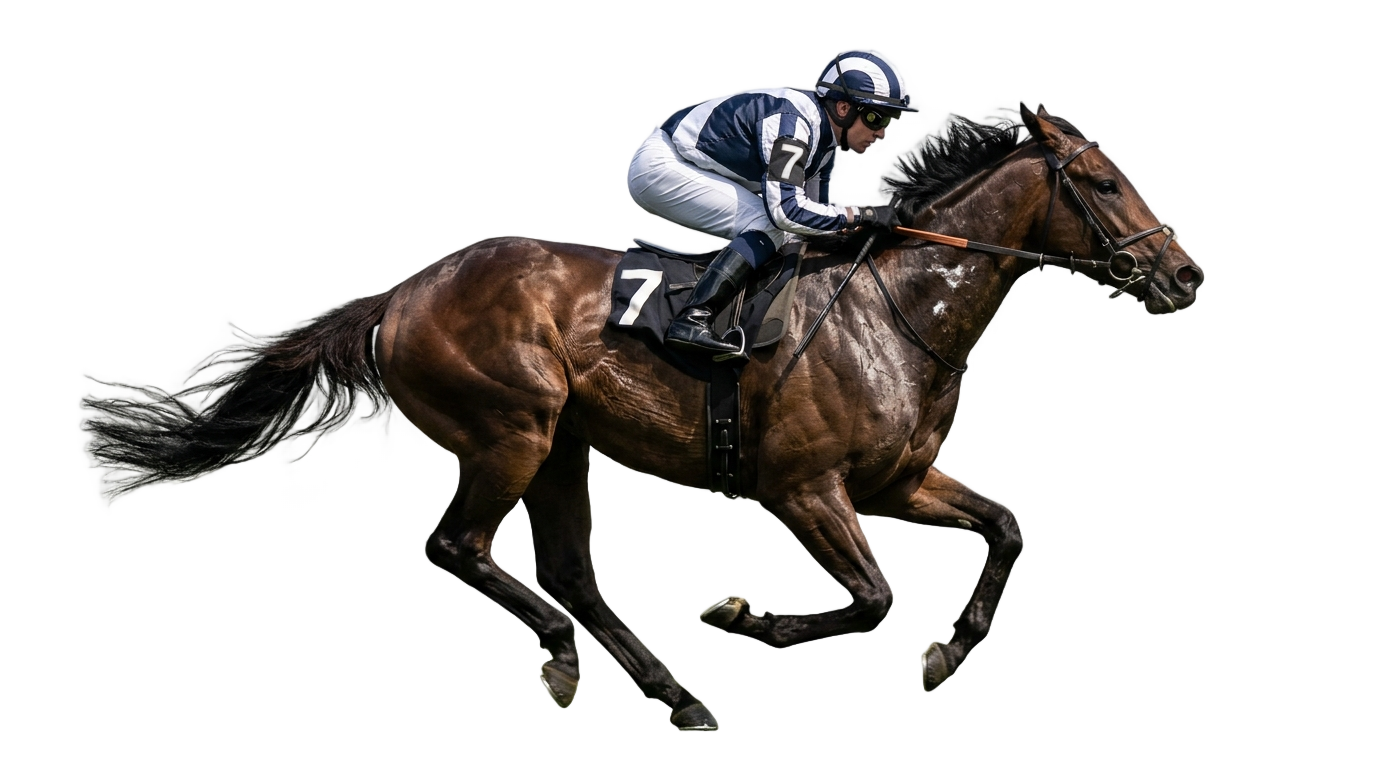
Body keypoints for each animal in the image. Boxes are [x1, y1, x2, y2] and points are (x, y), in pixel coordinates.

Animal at [84, 105, 1202, 731]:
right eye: (1102, 182)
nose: (1181, 272)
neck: (897, 310)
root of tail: (403, 293)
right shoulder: (802, 488)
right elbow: (873, 595)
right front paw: (750, 617)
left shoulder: (897, 481)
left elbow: (1006, 532)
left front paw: (951, 655)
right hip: (512, 432)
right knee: (458, 549)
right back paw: (564, 660)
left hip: (560, 450)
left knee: (573, 576)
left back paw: (674, 698)